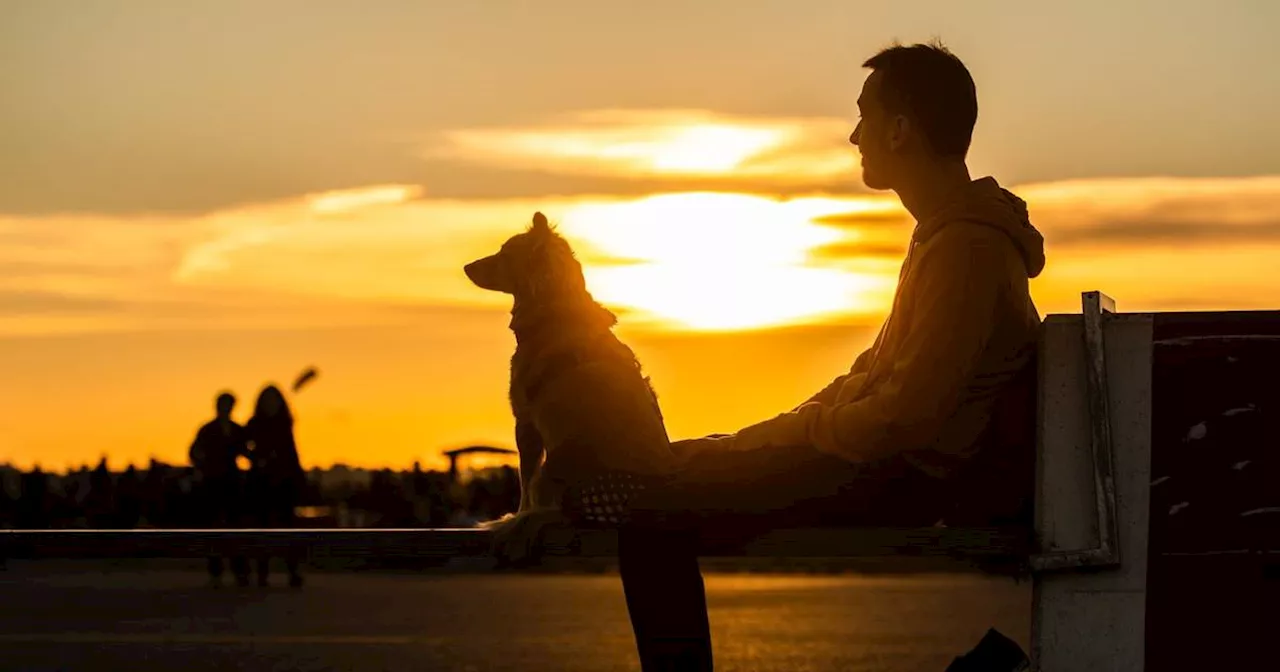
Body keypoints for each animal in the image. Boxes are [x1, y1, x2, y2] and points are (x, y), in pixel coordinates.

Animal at [463, 212, 680, 563]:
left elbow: (523, 481)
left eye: (505, 253)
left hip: (554, 467)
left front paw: (516, 514)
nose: (467, 267)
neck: (554, 305)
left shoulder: (525, 422)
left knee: (557, 511)